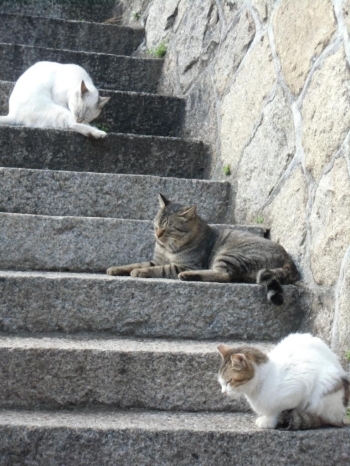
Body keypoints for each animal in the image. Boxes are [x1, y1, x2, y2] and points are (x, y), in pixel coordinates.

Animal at [106, 193, 298, 306]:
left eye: (168, 228)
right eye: (156, 224)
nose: (157, 235)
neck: (168, 247)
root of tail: (289, 260)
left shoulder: (182, 264)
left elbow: (157, 269)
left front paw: (141, 272)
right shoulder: (156, 259)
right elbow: (136, 263)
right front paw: (116, 268)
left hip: (230, 255)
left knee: (225, 275)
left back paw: (188, 276)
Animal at [217, 334, 348, 430]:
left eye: (229, 381)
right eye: (221, 382)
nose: (223, 392)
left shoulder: (299, 387)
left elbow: (276, 409)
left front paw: (269, 420)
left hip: (326, 387)